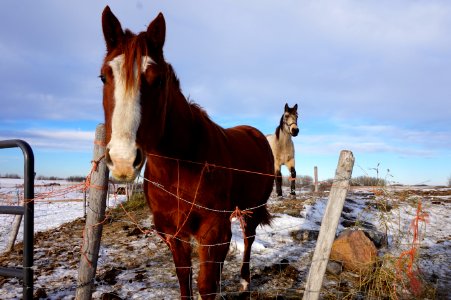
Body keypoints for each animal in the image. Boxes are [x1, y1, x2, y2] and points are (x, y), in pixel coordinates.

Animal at [100, 5, 274, 298]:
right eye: (103, 76)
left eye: (158, 81)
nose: (123, 160)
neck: (179, 169)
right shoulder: (173, 234)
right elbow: (185, 280)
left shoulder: (211, 231)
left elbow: (206, 286)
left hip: (252, 208)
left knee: (248, 238)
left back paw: (245, 281)